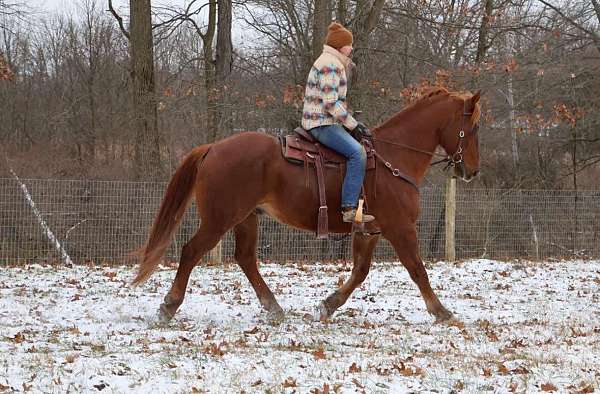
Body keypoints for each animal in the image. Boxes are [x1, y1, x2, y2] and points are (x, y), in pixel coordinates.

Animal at [132, 87, 482, 324]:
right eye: (474, 128)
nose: (472, 171)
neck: (392, 158)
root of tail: (214, 148)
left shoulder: (370, 231)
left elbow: (360, 271)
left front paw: (328, 304)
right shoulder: (400, 228)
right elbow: (417, 269)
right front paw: (442, 311)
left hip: (246, 218)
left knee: (245, 258)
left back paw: (273, 307)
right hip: (220, 220)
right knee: (192, 251)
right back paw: (169, 306)